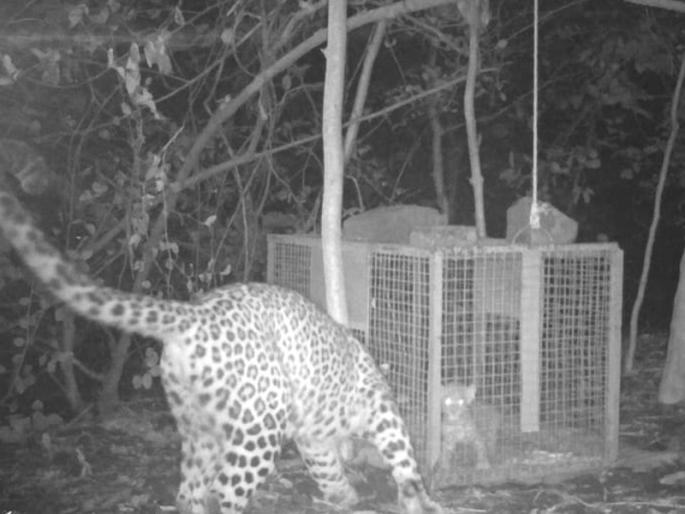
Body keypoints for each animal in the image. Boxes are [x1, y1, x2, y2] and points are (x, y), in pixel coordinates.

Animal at [0, 160, 442, 514]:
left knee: (190, 491)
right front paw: (420, 500)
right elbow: (403, 454)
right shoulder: (376, 407)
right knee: (222, 493)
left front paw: (344, 495)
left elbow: (328, 467)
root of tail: (193, 313)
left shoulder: (314, 437)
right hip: (261, 424)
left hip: (200, 425)